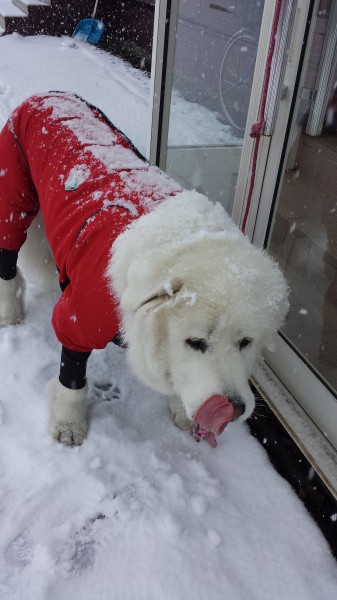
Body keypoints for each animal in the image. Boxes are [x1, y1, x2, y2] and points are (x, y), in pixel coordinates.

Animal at [0, 94, 288, 448]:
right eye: (195, 342)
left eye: (245, 341)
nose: (233, 409)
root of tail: (47, 95)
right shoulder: (78, 322)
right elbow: (72, 381)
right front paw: (68, 423)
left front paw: (180, 410)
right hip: (13, 200)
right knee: (7, 265)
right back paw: (10, 313)